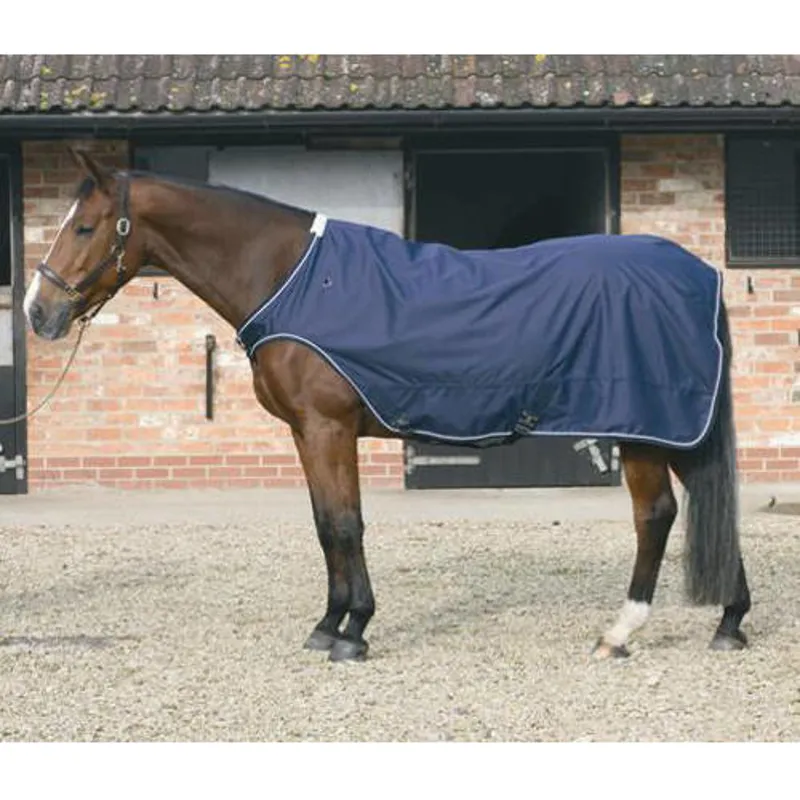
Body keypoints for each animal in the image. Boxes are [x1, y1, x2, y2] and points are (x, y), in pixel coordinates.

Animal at [23, 146, 752, 663]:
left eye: (84, 227)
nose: (38, 311)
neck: (291, 278)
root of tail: (695, 272)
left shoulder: (329, 428)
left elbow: (347, 525)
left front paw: (354, 632)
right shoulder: (306, 433)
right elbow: (325, 525)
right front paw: (327, 623)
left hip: (646, 427)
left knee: (656, 515)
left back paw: (620, 632)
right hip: (675, 429)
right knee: (707, 501)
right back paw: (730, 620)